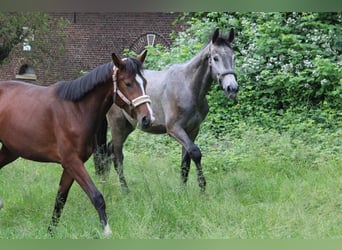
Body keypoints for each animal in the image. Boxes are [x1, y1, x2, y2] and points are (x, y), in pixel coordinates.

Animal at [0, 51, 153, 236]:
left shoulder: (70, 167)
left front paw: (50, 232)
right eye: (128, 83)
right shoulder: (72, 162)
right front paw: (107, 232)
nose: (147, 118)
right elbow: (97, 197)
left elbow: (60, 200)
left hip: (10, 151)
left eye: (145, 82)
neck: (76, 110)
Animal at [93, 27, 238, 192]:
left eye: (233, 57)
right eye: (215, 58)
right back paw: (124, 189)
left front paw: (183, 190)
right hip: (117, 125)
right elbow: (195, 153)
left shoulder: (192, 130)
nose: (232, 88)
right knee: (117, 155)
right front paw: (202, 187)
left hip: (128, 126)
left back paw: (105, 182)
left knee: (109, 150)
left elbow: (186, 160)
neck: (188, 87)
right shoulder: (174, 129)